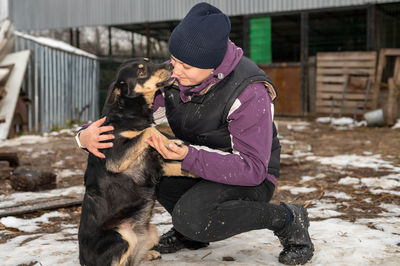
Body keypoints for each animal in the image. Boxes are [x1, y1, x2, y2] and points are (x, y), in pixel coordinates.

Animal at [78, 57, 192, 264]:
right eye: (141, 72)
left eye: (149, 61)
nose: (171, 64)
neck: (130, 112)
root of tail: (83, 261)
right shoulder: (116, 157)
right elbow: (149, 130)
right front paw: (171, 141)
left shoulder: (159, 166)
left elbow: (183, 166)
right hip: (121, 236)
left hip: (151, 231)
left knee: (136, 255)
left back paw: (148, 253)